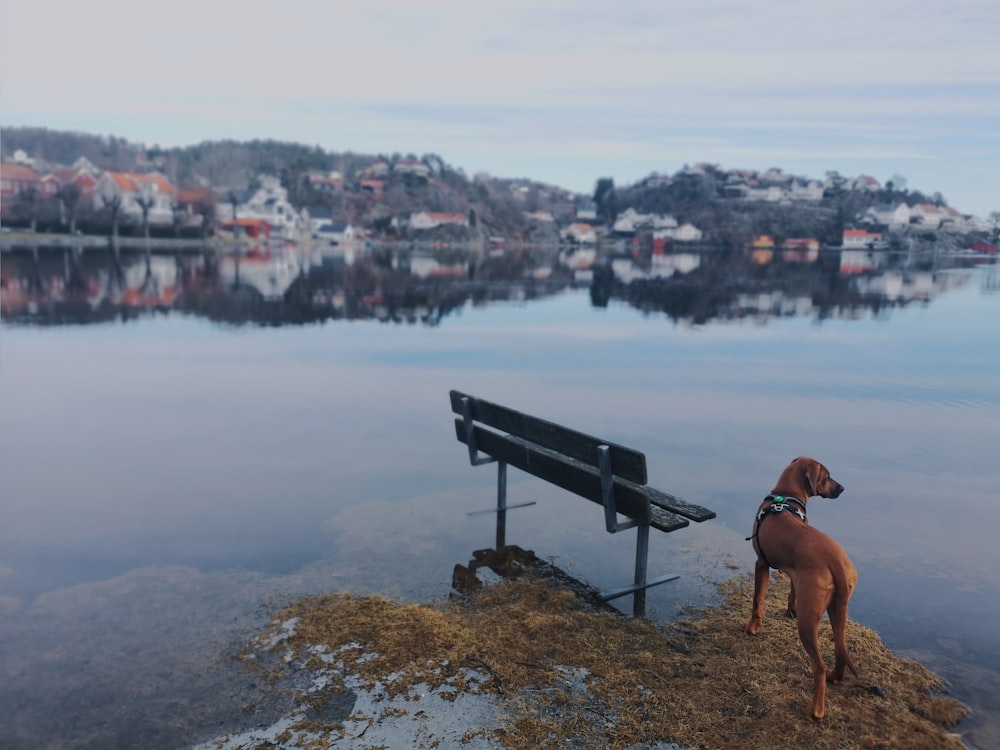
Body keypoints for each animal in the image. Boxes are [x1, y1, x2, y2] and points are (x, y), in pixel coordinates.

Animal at [744, 458, 860, 724]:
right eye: (827, 476)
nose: (842, 488)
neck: (785, 496)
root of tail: (837, 562)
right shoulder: (794, 573)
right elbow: (791, 592)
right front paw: (789, 609)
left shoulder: (761, 563)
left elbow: (758, 599)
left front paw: (753, 628)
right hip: (838, 610)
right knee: (840, 650)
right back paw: (835, 678)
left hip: (808, 622)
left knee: (818, 665)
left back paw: (815, 710)